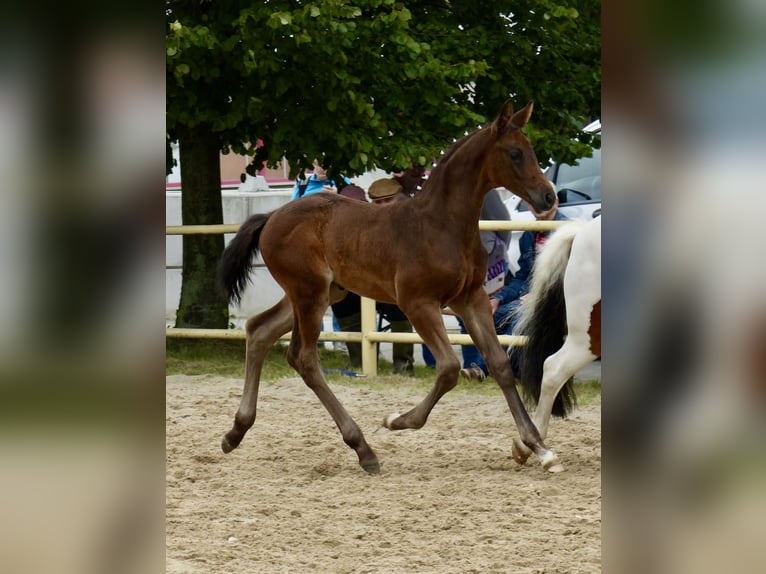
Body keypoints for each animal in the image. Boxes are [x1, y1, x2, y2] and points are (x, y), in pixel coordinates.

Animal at [219, 101, 560, 474]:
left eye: (532, 150)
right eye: (515, 153)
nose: (548, 197)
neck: (442, 225)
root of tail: (271, 217)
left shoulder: (472, 299)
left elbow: (499, 365)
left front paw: (539, 447)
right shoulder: (418, 303)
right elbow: (449, 369)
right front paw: (397, 420)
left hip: (322, 292)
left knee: (259, 330)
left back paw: (235, 432)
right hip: (309, 293)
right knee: (303, 357)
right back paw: (363, 448)